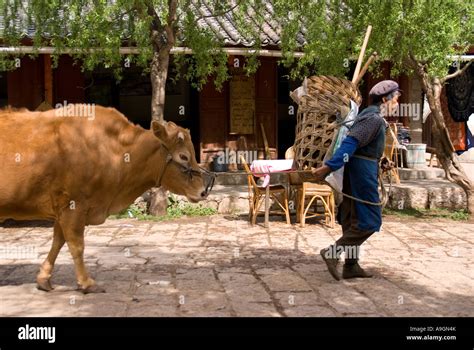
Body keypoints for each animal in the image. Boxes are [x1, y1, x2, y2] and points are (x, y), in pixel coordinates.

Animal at [0, 105, 215, 294]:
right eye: (184, 156)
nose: (203, 191)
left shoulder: (63, 210)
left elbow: (58, 242)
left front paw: (44, 278)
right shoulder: (73, 207)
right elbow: (76, 246)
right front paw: (87, 283)